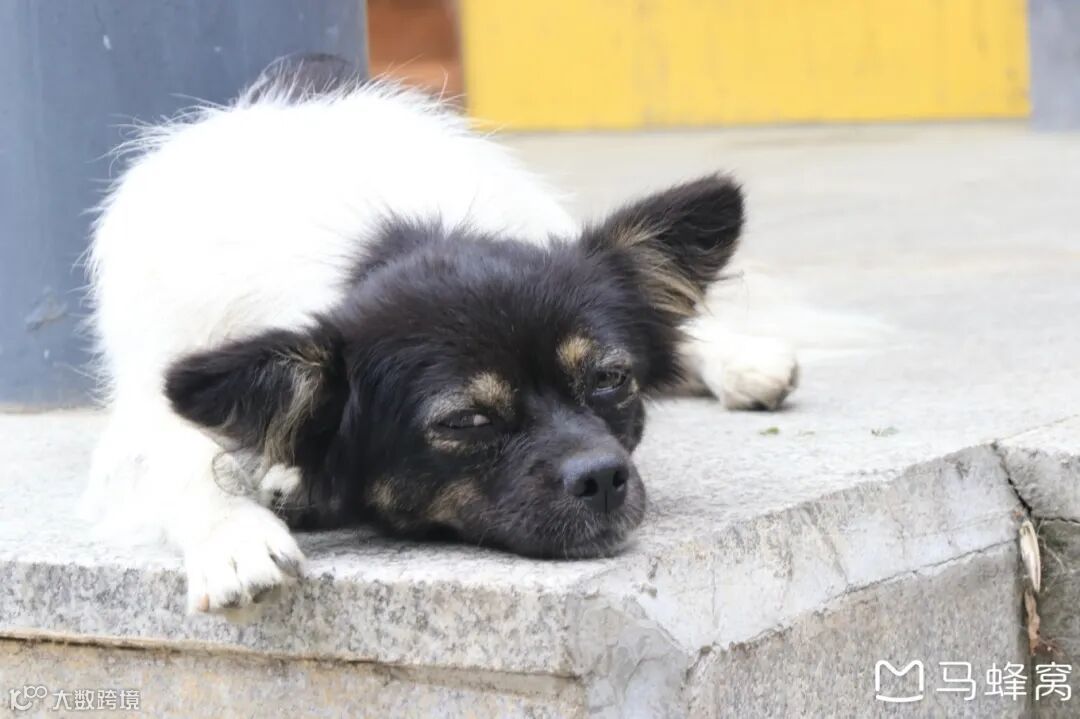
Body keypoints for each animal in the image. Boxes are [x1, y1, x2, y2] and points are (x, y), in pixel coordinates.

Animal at [84, 55, 798, 614]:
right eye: (465, 422)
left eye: (609, 380)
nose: (602, 477)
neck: (381, 236)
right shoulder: (148, 404)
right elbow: (180, 459)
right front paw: (235, 540)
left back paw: (746, 360)